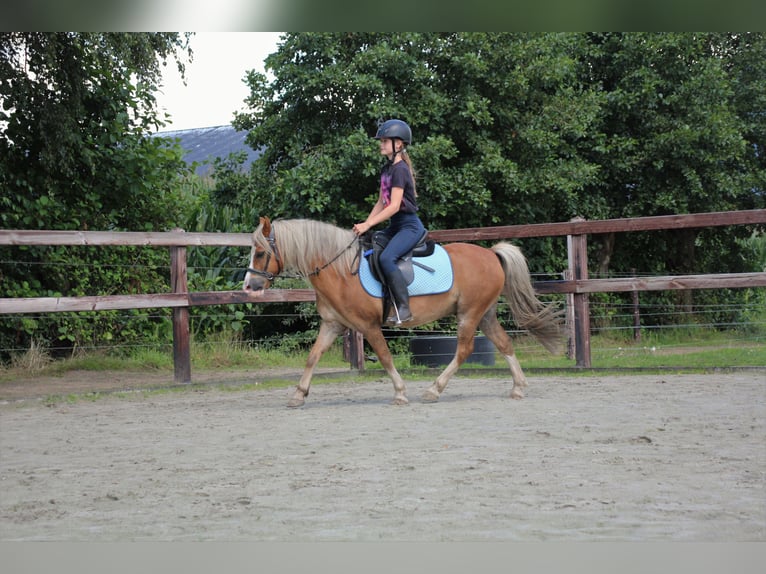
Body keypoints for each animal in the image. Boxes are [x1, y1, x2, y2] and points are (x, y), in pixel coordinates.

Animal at [244, 217, 563, 407]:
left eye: (259, 253)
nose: (249, 286)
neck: (339, 270)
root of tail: (491, 254)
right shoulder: (333, 325)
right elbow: (313, 357)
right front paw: (298, 394)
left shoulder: (368, 326)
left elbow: (385, 357)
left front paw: (399, 391)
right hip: (484, 314)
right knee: (504, 343)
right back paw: (518, 387)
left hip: (469, 315)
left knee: (464, 350)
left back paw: (434, 390)